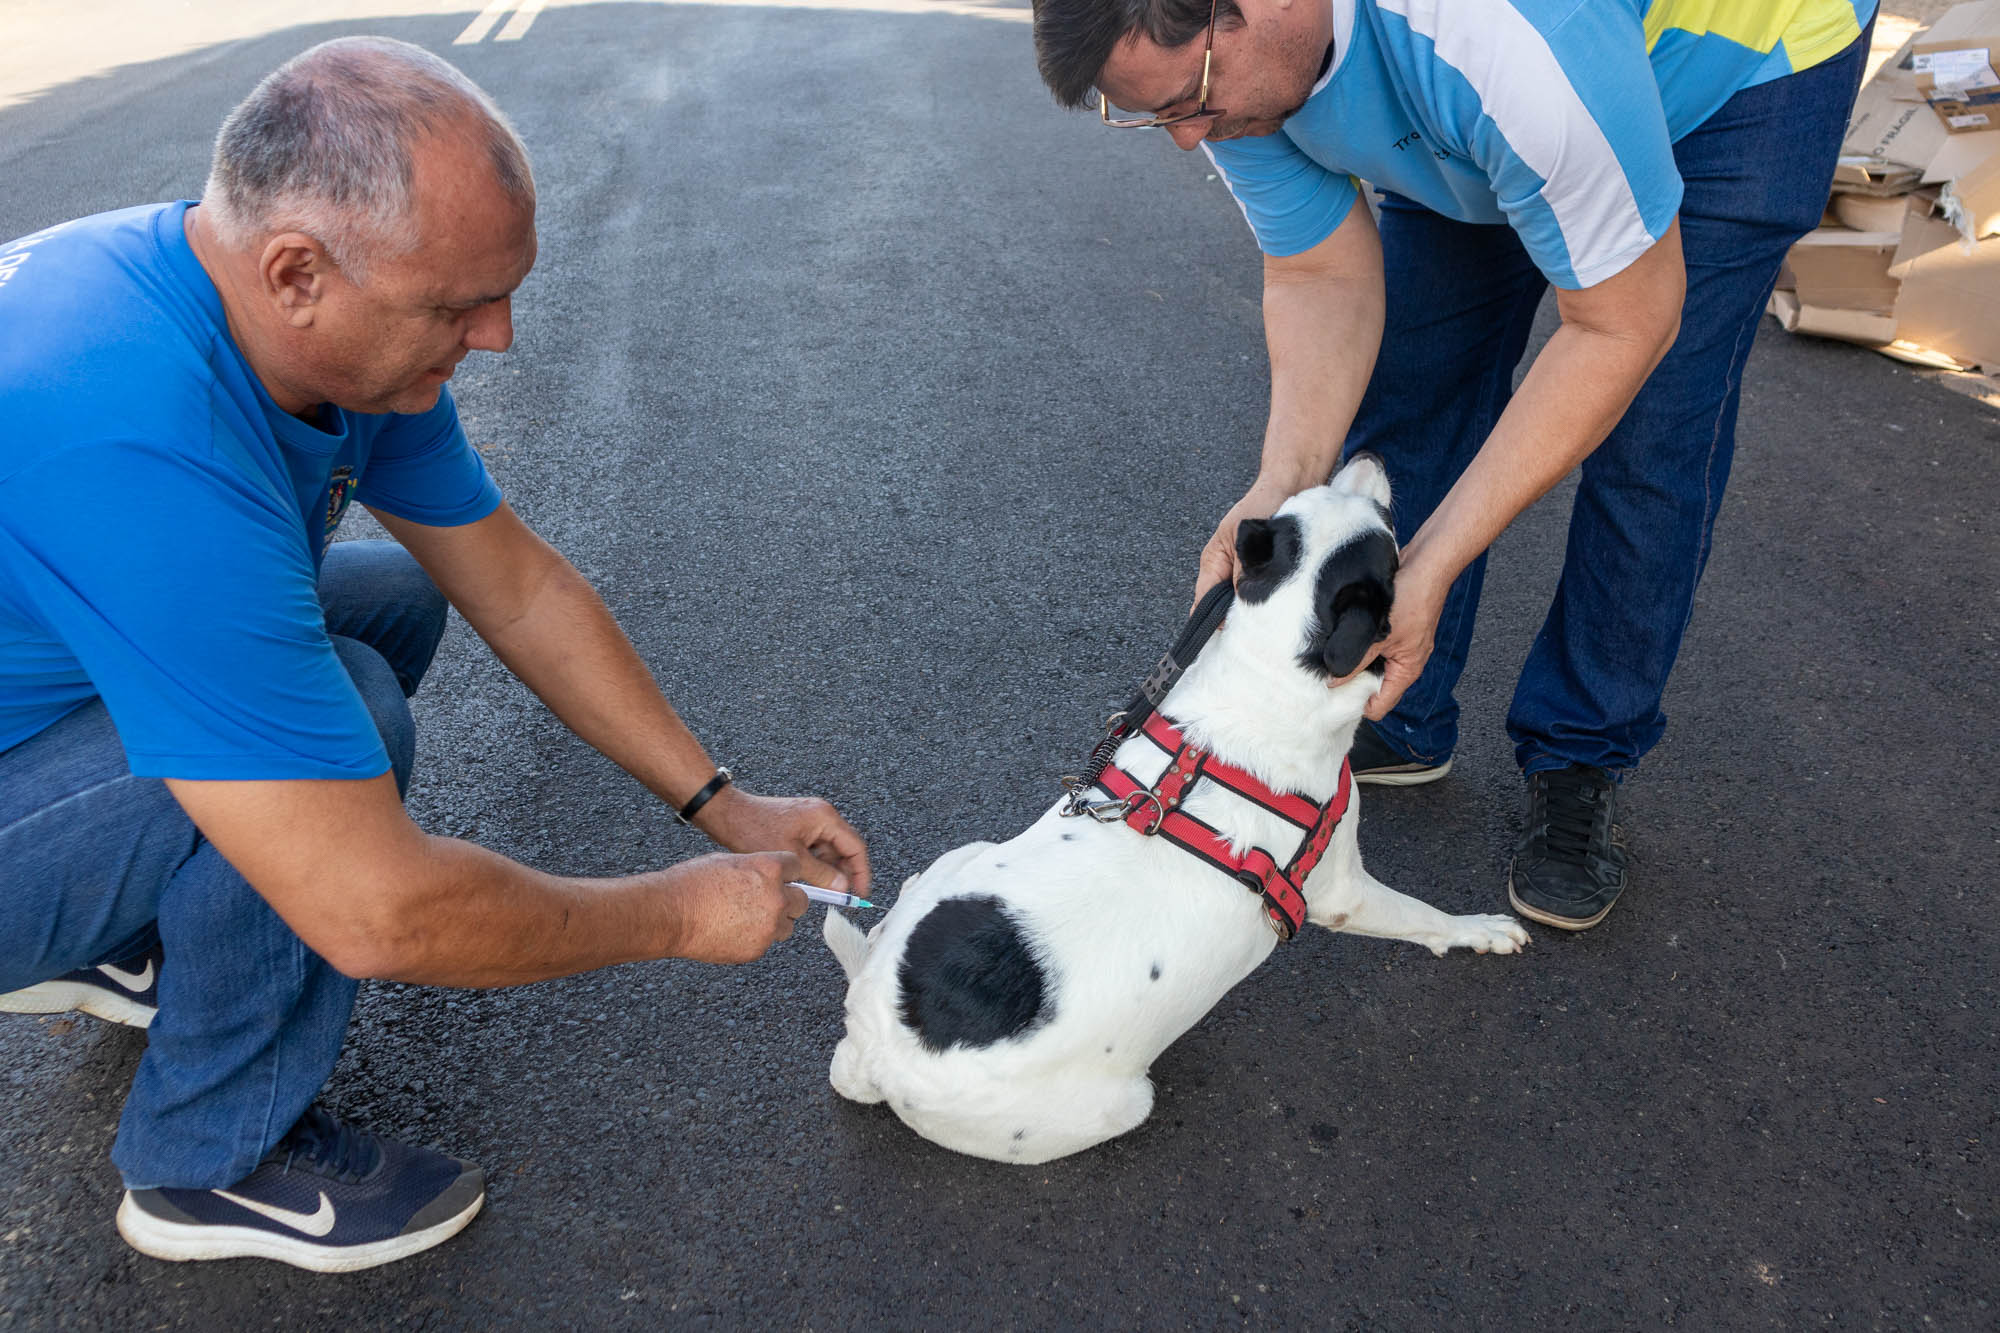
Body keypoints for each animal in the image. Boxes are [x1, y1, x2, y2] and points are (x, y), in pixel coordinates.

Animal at [820, 456, 1520, 1160]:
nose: (1368, 455)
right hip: (1115, 1106)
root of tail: (878, 1051)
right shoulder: (1342, 891)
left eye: (1310, 495)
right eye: (1388, 534)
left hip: (967, 857)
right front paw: (1480, 930)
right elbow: (1424, 917)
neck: (1262, 679)